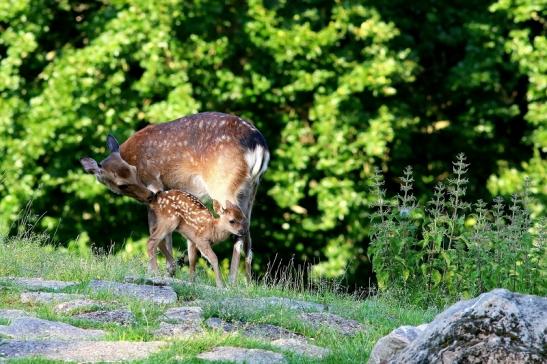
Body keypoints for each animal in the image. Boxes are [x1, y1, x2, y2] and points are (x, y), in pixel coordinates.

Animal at [79, 112, 270, 282]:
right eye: (121, 184)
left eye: (134, 170)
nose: (147, 195)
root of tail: (259, 145)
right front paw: (174, 271)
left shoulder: (155, 182)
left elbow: (155, 228)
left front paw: (162, 270)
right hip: (251, 188)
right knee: (247, 233)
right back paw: (247, 283)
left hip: (222, 183)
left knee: (236, 228)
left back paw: (231, 281)